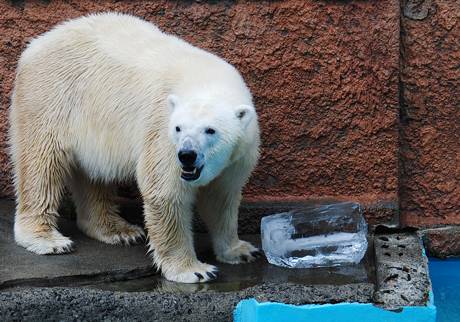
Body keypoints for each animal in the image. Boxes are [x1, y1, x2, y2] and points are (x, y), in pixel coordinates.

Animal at [9, 12, 260, 284]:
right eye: (178, 128)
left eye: (210, 130)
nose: (186, 156)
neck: (206, 80)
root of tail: (35, 44)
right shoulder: (161, 131)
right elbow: (165, 193)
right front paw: (194, 269)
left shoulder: (239, 154)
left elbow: (221, 198)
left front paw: (240, 250)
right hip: (51, 96)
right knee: (41, 165)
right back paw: (48, 239)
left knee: (94, 173)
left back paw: (119, 230)